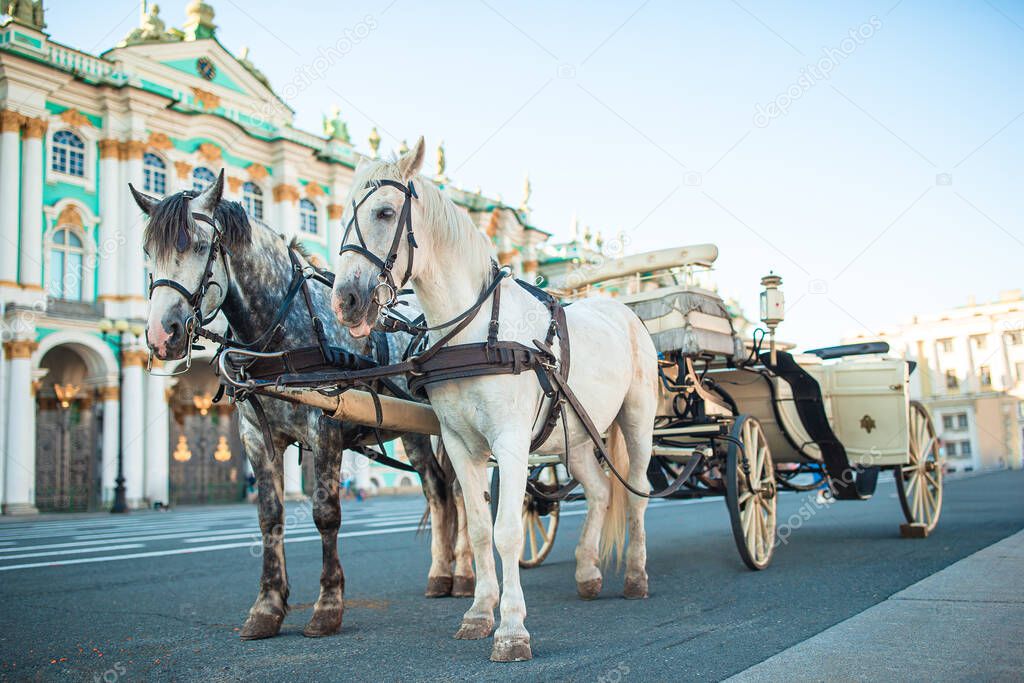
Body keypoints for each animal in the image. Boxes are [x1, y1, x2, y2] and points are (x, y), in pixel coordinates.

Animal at [331, 139, 659, 663]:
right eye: (341, 214)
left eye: (385, 211)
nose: (346, 301)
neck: (475, 330)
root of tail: (621, 308)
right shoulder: (461, 445)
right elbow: (482, 529)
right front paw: (479, 613)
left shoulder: (510, 443)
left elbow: (507, 532)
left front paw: (511, 630)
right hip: (576, 438)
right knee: (601, 491)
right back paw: (588, 572)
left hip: (637, 421)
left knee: (636, 493)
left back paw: (635, 575)